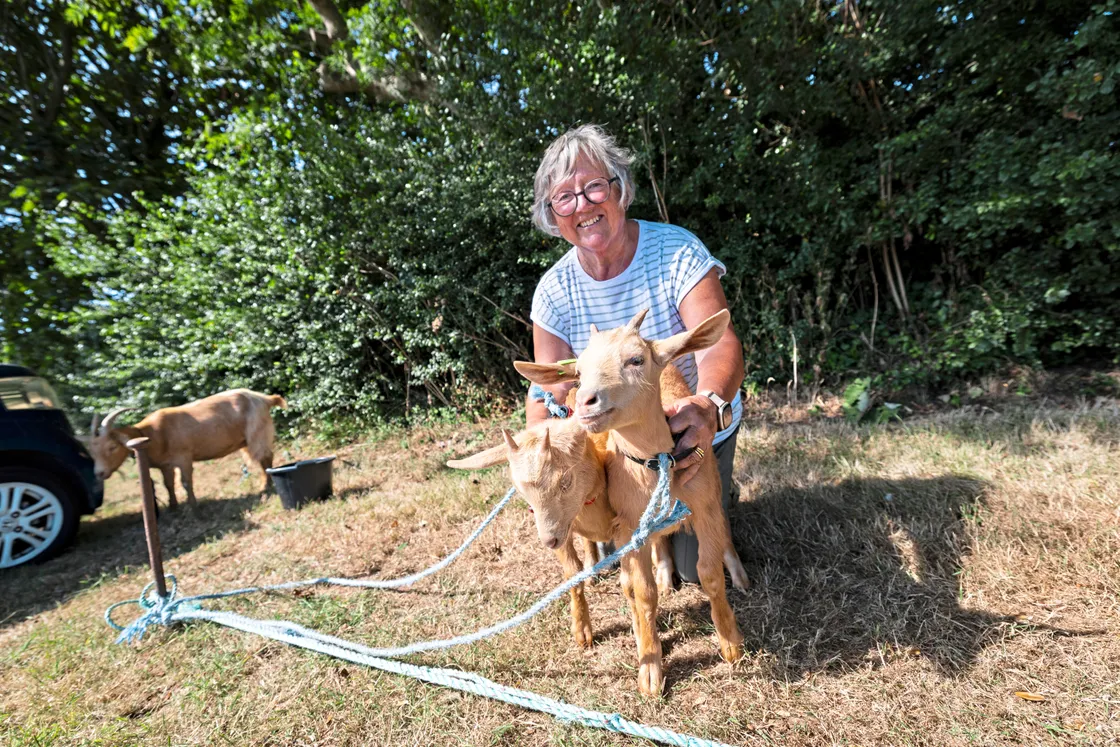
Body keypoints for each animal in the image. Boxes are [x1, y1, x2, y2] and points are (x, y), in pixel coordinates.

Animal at [88, 389, 286, 509]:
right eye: (92, 451)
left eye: (112, 446)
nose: (99, 473)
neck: (151, 433)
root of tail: (264, 398)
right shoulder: (165, 465)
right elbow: (168, 484)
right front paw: (173, 506)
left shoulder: (183, 457)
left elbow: (185, 481)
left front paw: (192, 505)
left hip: (257, 432)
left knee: (264, 457)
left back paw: (265, 486)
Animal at [515, 309, 748, 696]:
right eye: (578, 371)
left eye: (636, 359)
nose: (586, 401)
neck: (655, 466)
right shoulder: (629, 526)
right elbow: (643, 593)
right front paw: (650, 669)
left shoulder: (704, 508)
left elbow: (709, 574)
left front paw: (732, 645)